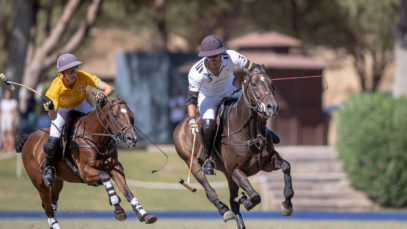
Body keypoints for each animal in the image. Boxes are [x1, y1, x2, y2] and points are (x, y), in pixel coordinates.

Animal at [15, 95, 157, 228]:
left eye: (132, 115)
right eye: (115, 116)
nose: (132, 139)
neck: (97, 139)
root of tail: (29, 137)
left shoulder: (115, 168)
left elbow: (127, 192)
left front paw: (144, 214)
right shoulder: (85, 173)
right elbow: (105, 177)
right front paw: (118, 210)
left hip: (58, 181)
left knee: (52, 203)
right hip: (39, 183)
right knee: (47, 206)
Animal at [174, 66, 294, 229]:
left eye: (272, 84)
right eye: (254, 84)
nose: (272, 107)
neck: (251, 133)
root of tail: (182, 123)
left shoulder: (266, 163)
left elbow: (286, 167)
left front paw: (287, 205)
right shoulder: (235, 169)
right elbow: (255, 196)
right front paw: (246, 201)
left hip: (227, 174)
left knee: (233, 201)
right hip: (191, 162)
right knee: (209, 189)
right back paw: (224, 209)